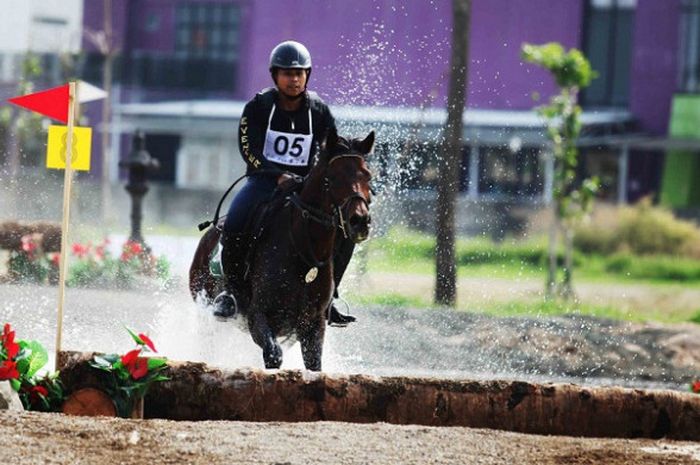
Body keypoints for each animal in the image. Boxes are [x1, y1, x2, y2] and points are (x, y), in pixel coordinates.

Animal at [189, 130, 374, 370]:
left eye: (368, 176)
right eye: (332, 178)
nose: (360, 221)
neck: (304, 252)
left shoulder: (312, 325)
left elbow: (314, 364)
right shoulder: (258, 316)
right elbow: (274, 355)